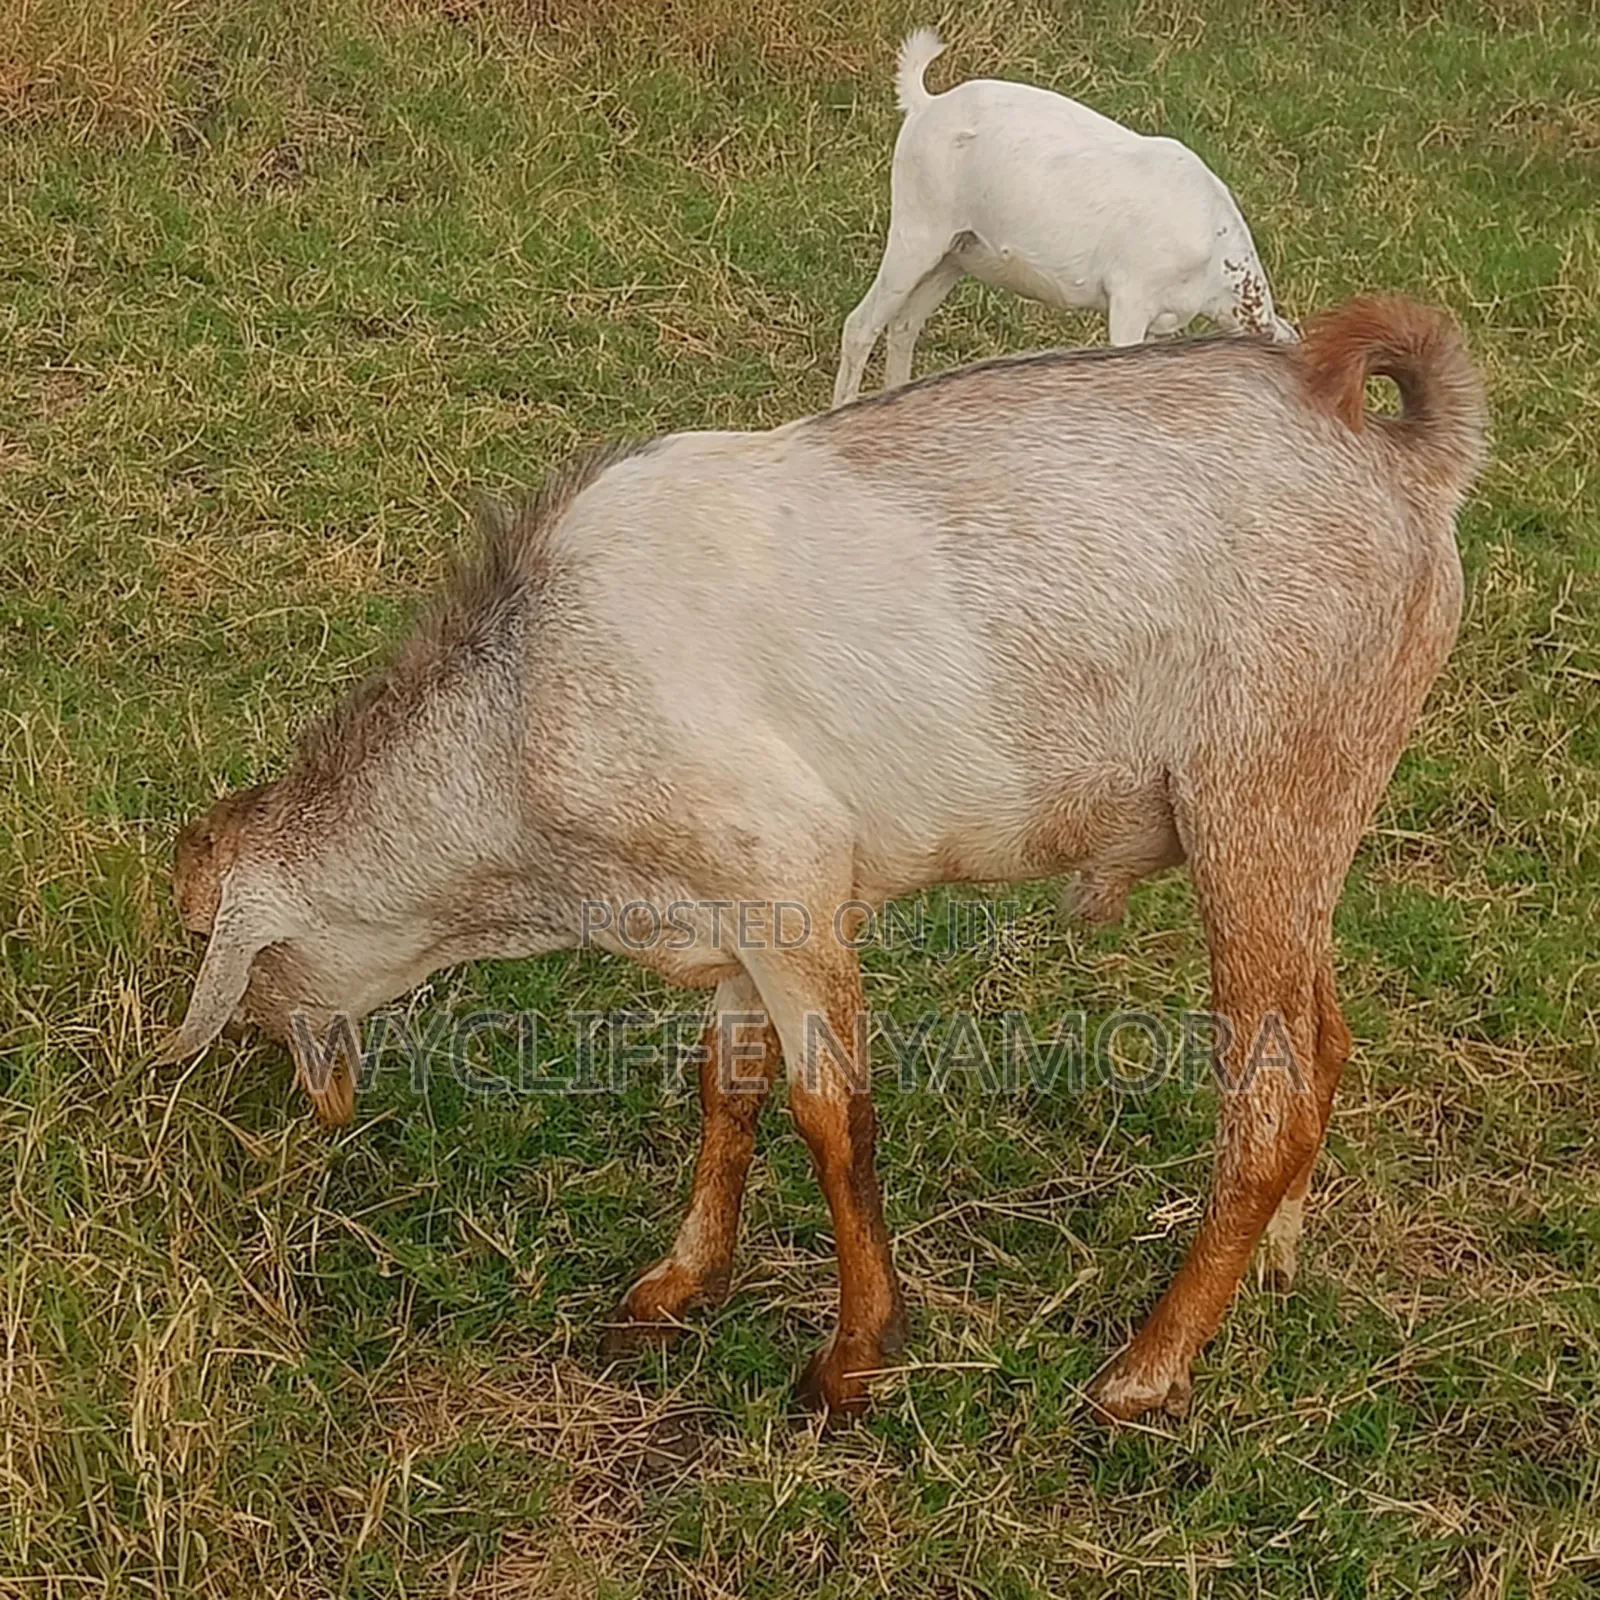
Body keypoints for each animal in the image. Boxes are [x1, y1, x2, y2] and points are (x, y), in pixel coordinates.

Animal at [158, 295, 1485, 1425]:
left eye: (221, 952)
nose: (312, 1100)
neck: (521, 710)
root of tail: (1402, 459)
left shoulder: (792, 878)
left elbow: (831, 1114)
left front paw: (853, 1362)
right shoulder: (733, 910)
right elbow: (726, 1087)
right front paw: (677, 1285)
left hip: (1257, 802)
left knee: (1265, 1101)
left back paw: (1146, 1371)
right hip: (1307, 826)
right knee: (1323, 1047)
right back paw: (1273, 1263)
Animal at [833, 28, 1298, 407]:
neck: (1214, 251)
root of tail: (925, 105)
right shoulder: (1130, 298)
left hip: (958, 252)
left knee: (904, 325)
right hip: (917, 229)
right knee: (860, 325)